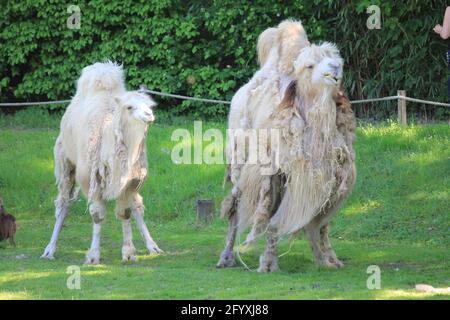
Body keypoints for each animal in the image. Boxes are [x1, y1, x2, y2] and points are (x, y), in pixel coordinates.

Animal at [40, 61, 162, 264]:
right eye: (129, 107)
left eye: (149, 104)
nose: (149, 114)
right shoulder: (91, 180)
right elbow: (97, 215)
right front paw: (93, 255)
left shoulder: (129, 181)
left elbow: (126, 212)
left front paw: (129, 253)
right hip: (66, 163)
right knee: (63, 203)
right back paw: (49, 249)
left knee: (137, 206)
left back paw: (153, 246)